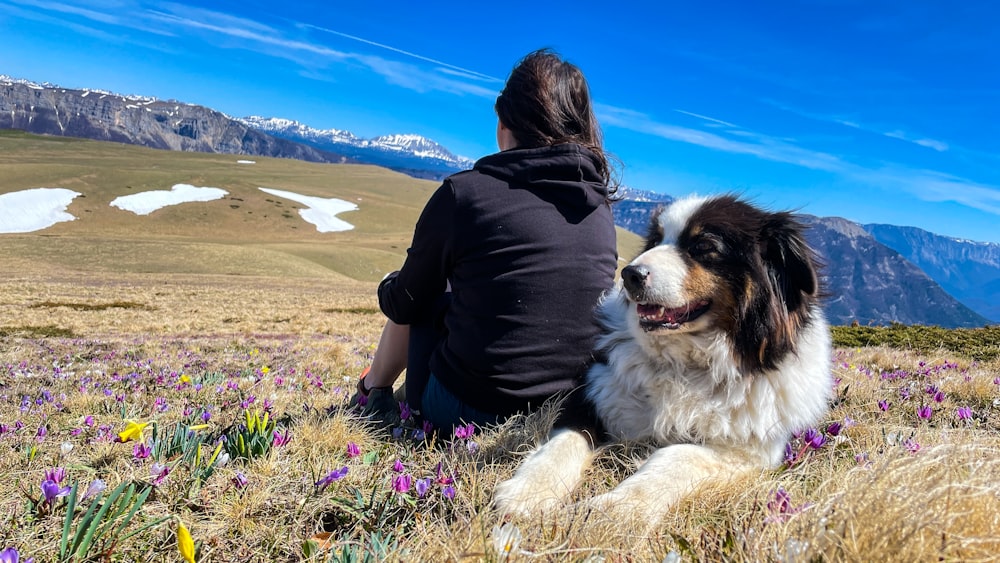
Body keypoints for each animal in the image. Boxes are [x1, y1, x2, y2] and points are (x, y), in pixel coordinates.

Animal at [494, 194, 836, 524]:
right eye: (656, 240)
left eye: (704, 246)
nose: (630, 274)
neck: (687, 364)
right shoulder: (595, 395)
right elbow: (564, 441)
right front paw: (526, 493)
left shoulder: (750, 450)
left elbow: (678, 456)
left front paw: (615, 509)